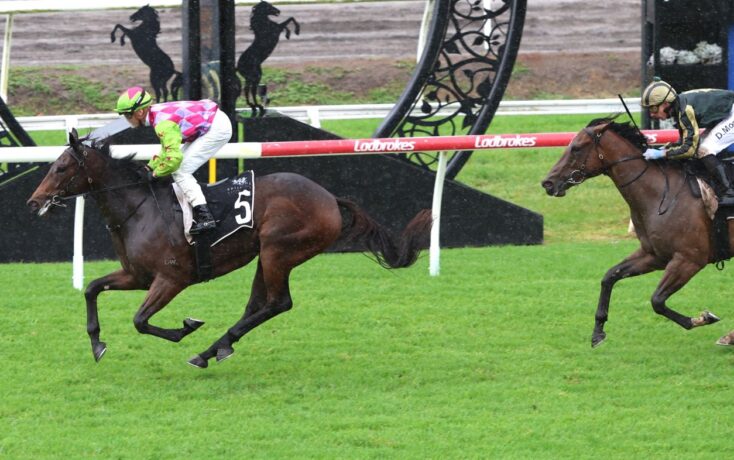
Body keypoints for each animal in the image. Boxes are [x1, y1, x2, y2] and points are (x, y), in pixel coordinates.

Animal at [26, 129, 432, 368]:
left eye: (61, 168)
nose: (34, 202)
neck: (138, 209)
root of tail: (330, 199)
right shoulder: (136, 275)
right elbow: (92, 288)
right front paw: (97, 343)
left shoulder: (172, 278)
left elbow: (140, 320)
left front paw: (185, 327)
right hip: (266, 255)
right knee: (259, 305)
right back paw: (216, 348)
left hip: (279, 250)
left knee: (278, 303)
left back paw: (209, 349)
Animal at [541, 116, 728, 347]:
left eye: (576, 148)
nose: (548, 182)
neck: (660, 194)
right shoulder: (655, 255)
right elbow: (609, 276)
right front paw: (598, 331)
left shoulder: (689, 259)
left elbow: (657, 301)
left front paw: (701, 318)